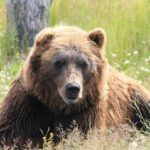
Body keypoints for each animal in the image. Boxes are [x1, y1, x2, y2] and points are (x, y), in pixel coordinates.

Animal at [0, 25, 150, 148]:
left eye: (83, 63)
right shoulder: (31, 102)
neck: (58, 105)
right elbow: (10, 132)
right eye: (59, 62)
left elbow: (81, 135)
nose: (73, 88)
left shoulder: (87, 108)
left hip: (135, 100)